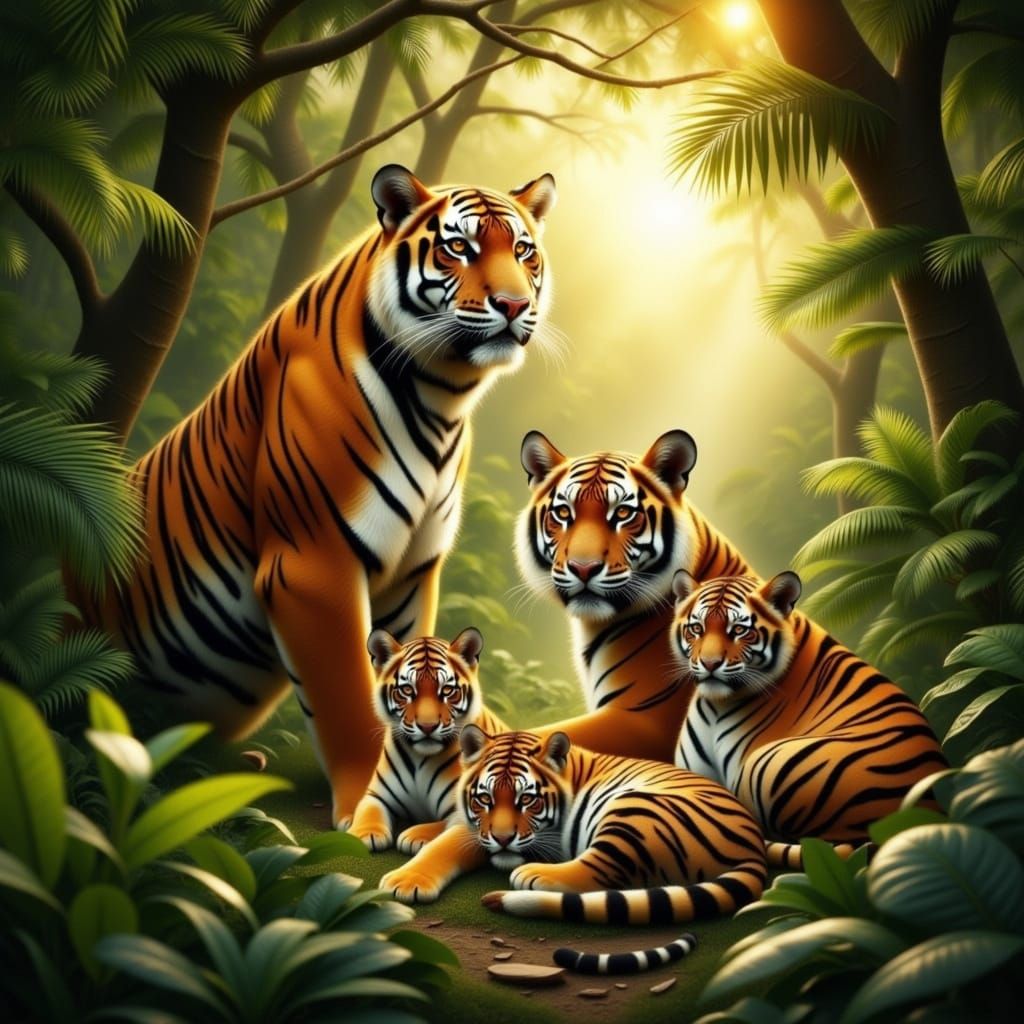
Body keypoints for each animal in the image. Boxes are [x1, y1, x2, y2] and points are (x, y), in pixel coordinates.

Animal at [85, 164, 557, 828]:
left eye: (523, 251)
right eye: (459, 247)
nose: (514, 305)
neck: (441, 397)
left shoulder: (414, 571)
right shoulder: (313, 567)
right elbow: (351, 699)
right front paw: (363, 807)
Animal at [349, 626, 506, 853]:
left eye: (447, 690)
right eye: (407, 689)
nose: (428, 726)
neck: (419, 759)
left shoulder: (464, 809)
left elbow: (442, 825)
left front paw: (416, 836)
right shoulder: (375, 796)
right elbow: (368, 810)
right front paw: (365, 833)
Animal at [378, 727, 768, 943]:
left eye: (527, 799)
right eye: (485, 798)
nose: (502, 839)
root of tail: (753, 847)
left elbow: (444, 846)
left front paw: (407, 880)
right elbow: (450, 825)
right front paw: (417, 833)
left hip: (633, 808)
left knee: (598, 871)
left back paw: (534, 875)